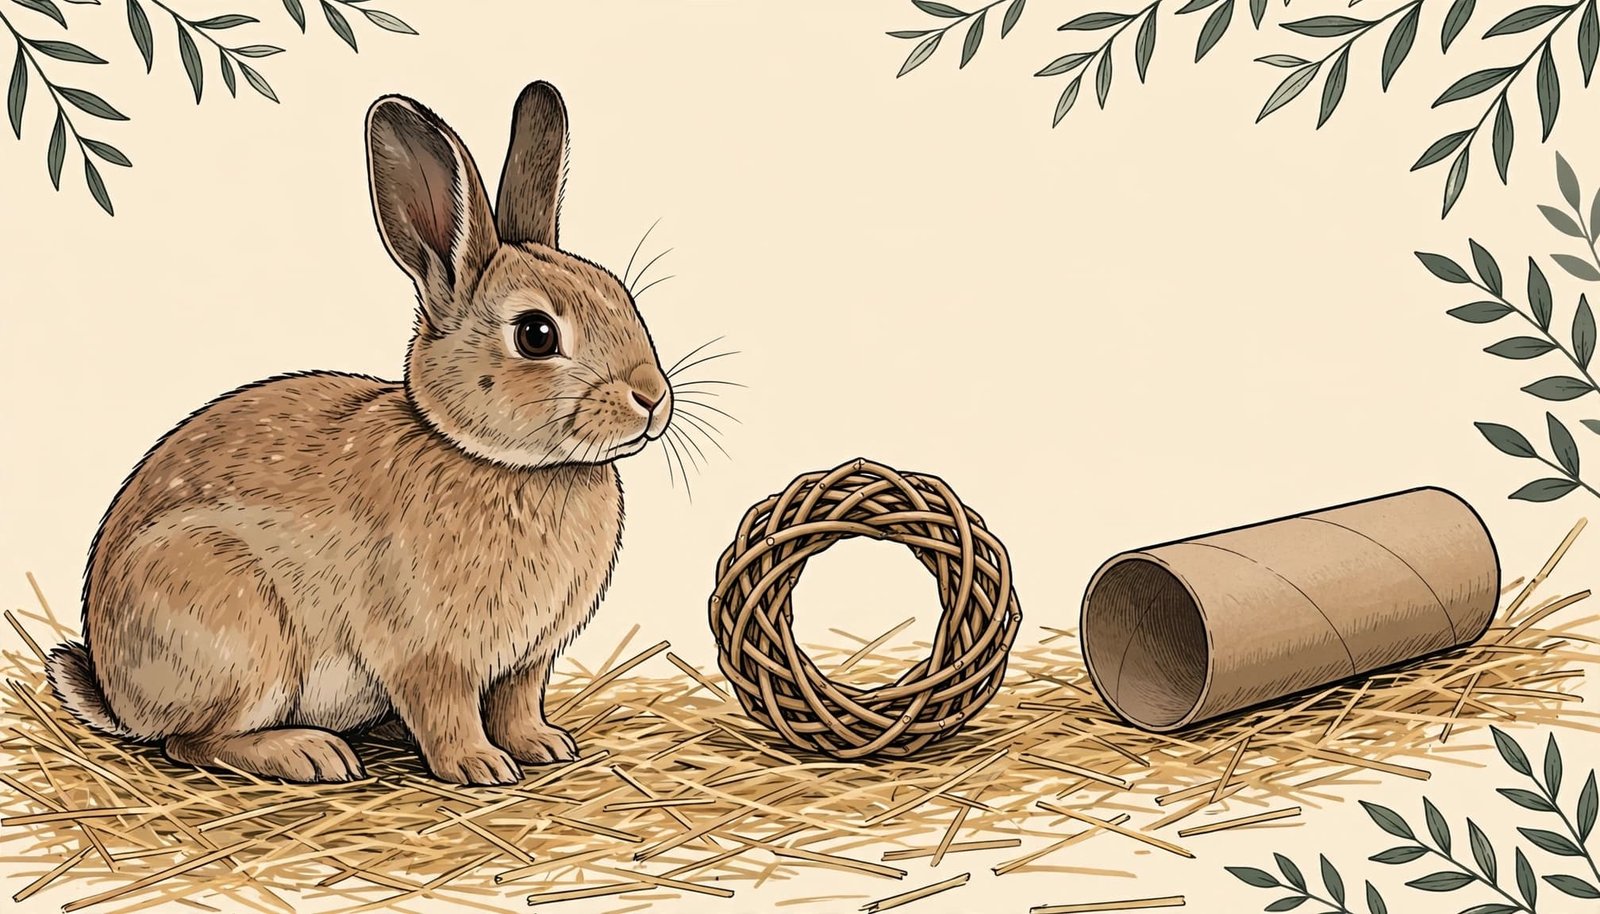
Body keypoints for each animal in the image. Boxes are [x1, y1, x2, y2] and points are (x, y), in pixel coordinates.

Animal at [43, 81, 674, 786]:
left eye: (620, 295)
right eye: (536, 334)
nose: (652, 398)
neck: (499, 461)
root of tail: (114, 692)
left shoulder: (527, 659)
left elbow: (517, 704)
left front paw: (544, 746)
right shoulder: (425, 654)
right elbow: (447, 713)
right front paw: (480, 766)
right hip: (237, 633)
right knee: (191, 741)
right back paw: (310, 753)